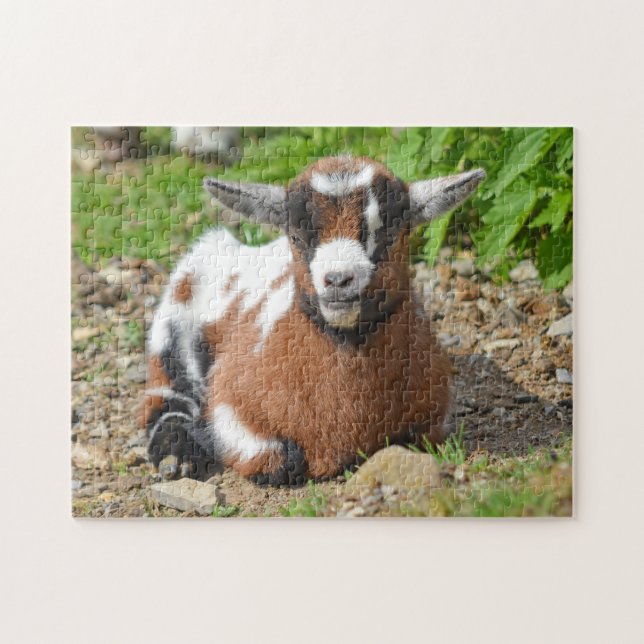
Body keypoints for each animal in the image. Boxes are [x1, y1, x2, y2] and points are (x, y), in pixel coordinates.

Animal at [143, 156, 485, 485]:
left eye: (390, 234)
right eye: (296, 236)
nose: (337, 280)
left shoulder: (435, 418)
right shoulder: (230, 401)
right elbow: (282, 460)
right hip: (177, 313)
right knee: (166, 393)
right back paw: (176, 454)